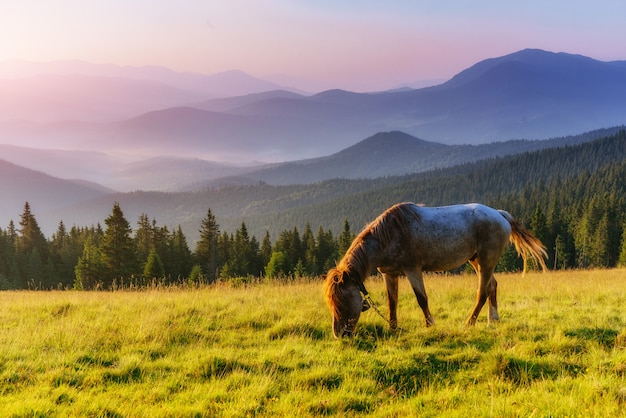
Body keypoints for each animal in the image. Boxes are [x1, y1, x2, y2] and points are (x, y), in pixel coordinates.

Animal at [324, 203, 544, 340]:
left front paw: (430, 325)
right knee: (492, 286)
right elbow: (392, 301)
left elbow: (422, 299)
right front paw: (393, 328)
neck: (388, 236)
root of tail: (500, 214)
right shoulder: (389, 273)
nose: (339, 335)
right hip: (477, 261)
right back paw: (493, 319)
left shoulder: (413, 270)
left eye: (341, 301)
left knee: (482, 292)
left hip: (486, 260)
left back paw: (469, 323)